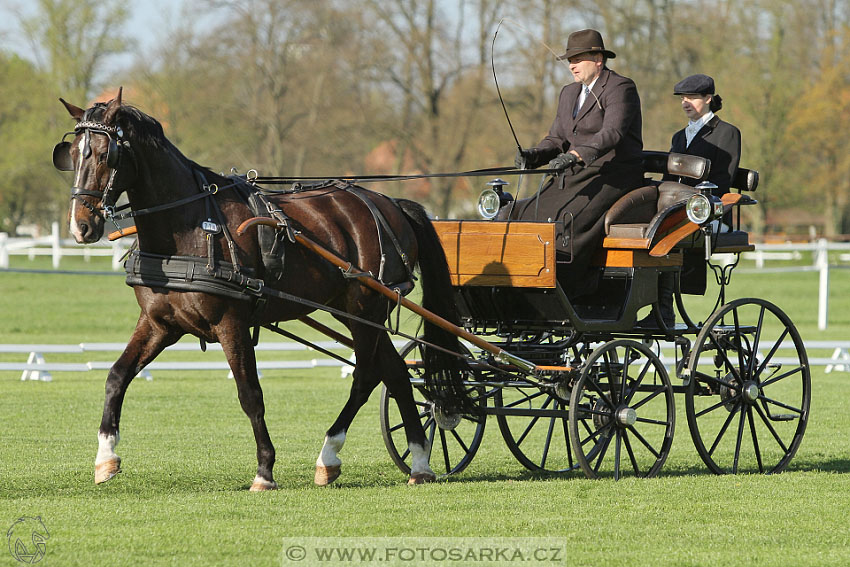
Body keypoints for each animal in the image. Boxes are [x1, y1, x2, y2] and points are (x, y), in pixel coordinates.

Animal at [55, 91, 468, 490]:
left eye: (106, 154)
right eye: (72, 155)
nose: (81, 227)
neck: (191, 228)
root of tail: (389, 203)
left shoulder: (230, 324)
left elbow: (250, 395)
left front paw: (265, 470)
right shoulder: (159, 324)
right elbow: (116, 377)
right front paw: (105, 457)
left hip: (366, 308)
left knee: (367, 376)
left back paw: (330, 454)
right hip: (353, 311)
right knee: (395, 373)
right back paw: (419, 461)